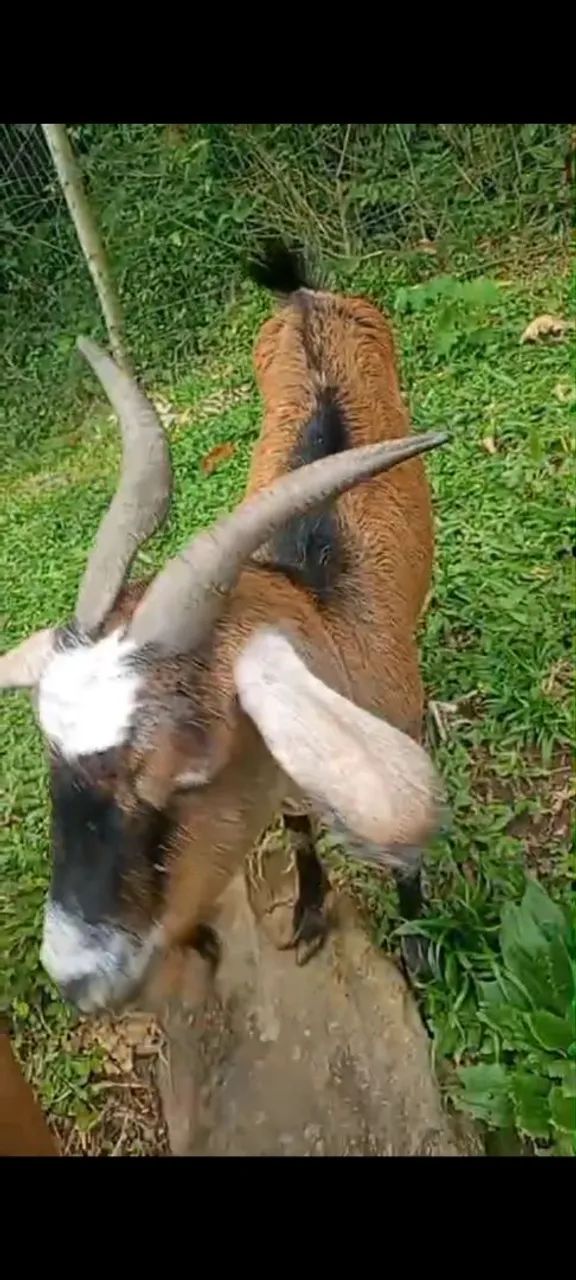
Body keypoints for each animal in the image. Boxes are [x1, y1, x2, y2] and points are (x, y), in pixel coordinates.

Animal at [0, 244, 446, 1013]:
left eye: (185, 774)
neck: (322, 607)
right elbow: (299, 834)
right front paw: (307, 914)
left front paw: (418, 950)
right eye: (50, 756)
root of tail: (303, 297)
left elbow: (406, 863)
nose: (78, 978)